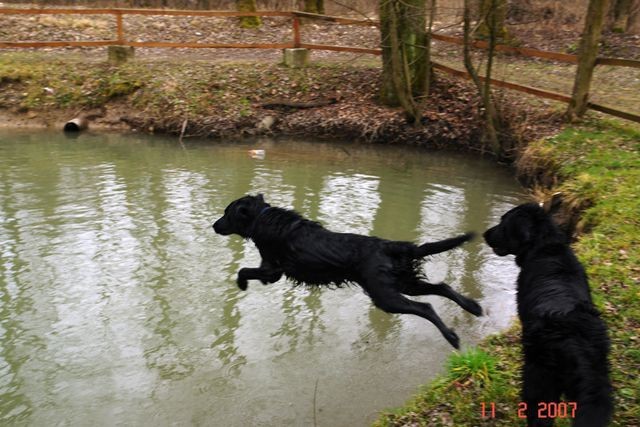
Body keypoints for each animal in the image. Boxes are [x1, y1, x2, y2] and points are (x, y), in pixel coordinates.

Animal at [212, 194, 482, 348]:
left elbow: (244, 270)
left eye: (227, 213)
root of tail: (388, 245)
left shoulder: (272, 270)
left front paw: (242, 284)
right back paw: (473, 307)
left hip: (386, 295)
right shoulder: (270, 270)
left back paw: (451, 337)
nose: (213, 226)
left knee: (425, 307)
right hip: (403, 283)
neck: (262, 217)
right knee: (442, 287)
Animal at [484, 198, 616, 427]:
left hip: (539, 378)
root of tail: (574, 339)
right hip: (597, 380)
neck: (546, 247)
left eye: (503, 223)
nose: (485, 234)